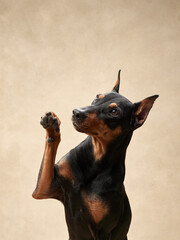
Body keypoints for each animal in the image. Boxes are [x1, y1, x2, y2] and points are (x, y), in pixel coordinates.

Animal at [32, 70, 159, 239]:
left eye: (114, 111)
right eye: (97, 97)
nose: (76, 112)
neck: (95, 161)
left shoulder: (103, 229)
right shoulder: (44, 189)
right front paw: (52, 126)